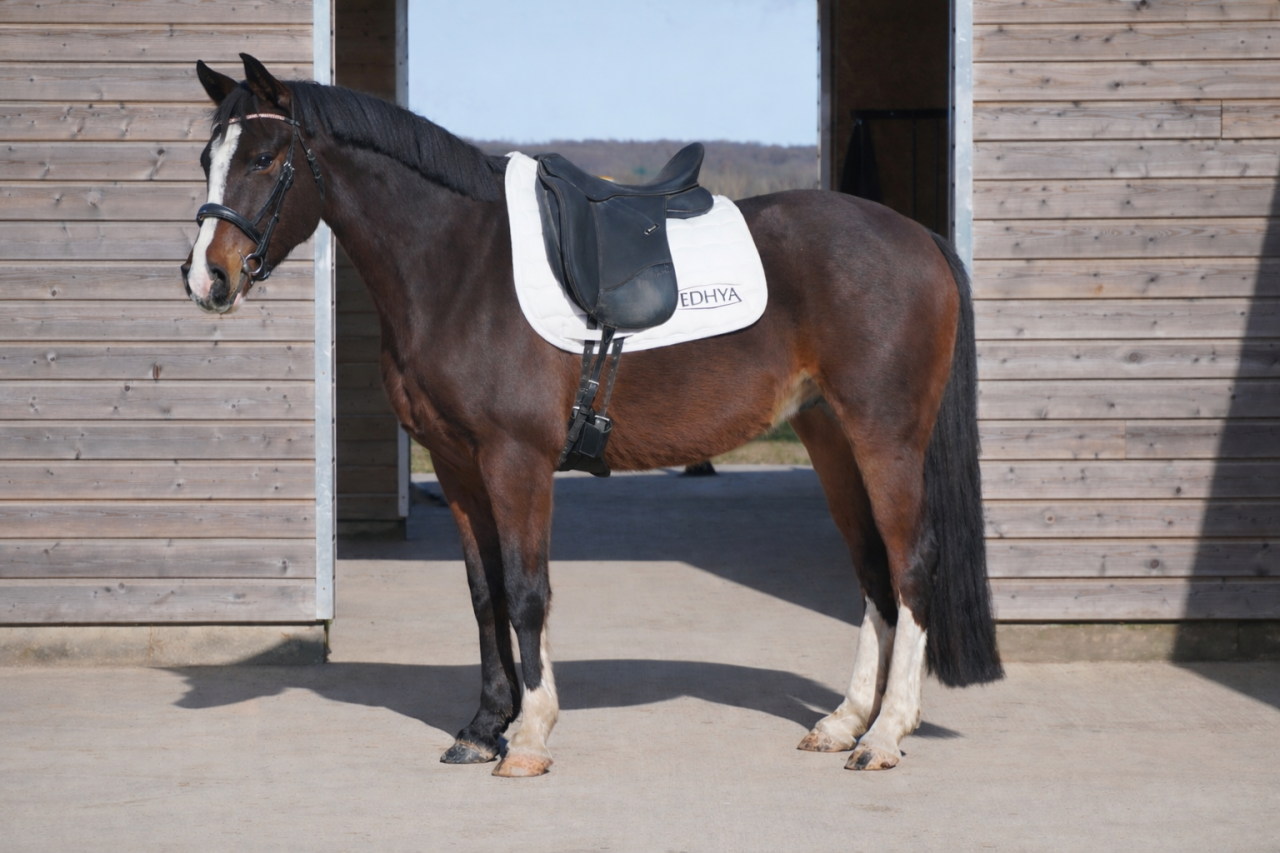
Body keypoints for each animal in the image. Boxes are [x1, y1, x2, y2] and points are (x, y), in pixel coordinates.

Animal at [182, 54, 1002, 777]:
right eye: (205, 159)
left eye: (264, 158)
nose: (205, 279)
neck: (458, 267)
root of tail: (919, 236)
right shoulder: (456, 465)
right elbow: (484, 594)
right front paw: (483, 727)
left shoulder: (515, 460)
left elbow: (526, 589)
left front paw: (529, 736)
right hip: (831, 436)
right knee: (870, 570)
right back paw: (843, 722)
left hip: (885, 437)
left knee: (909, 564)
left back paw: (886, 735)